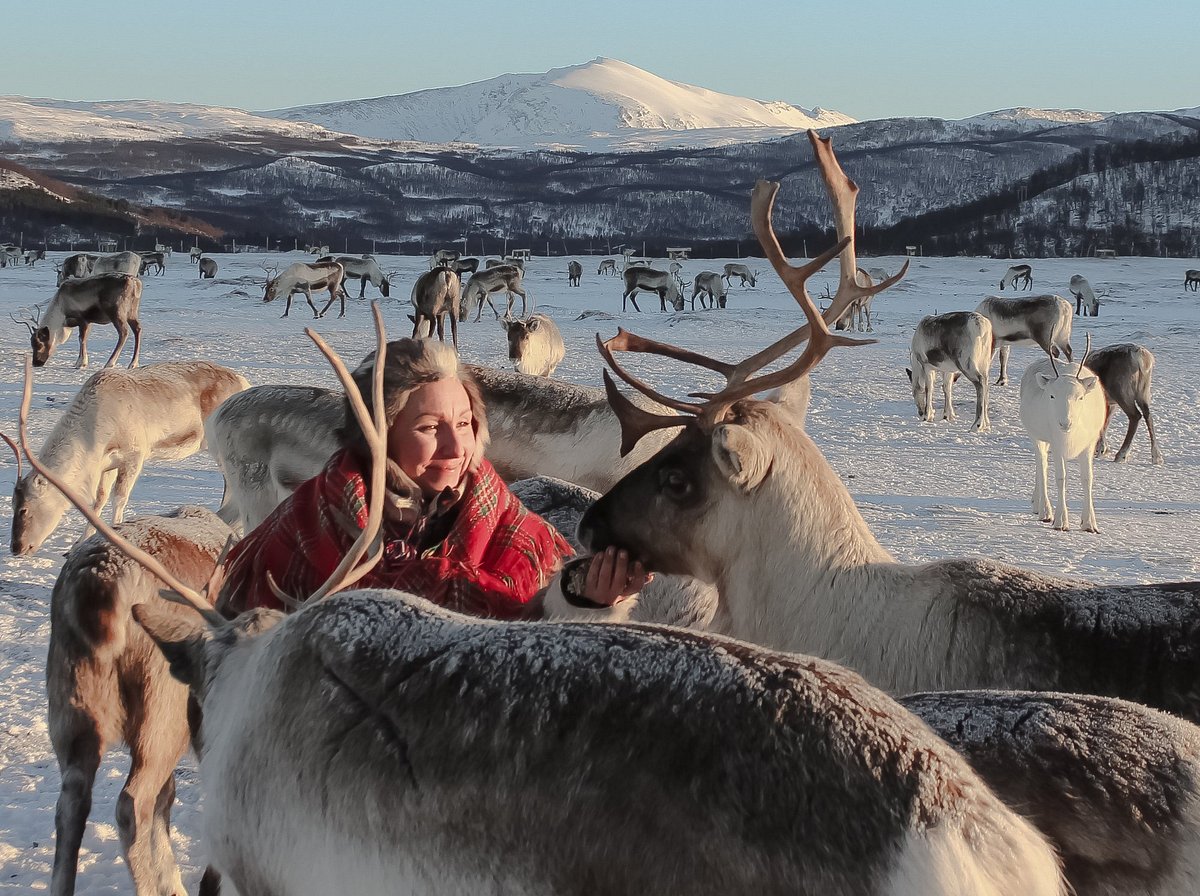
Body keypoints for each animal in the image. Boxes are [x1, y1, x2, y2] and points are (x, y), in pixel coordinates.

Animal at [10, 361, 249, 554]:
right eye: (12, 504)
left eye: (24, 509)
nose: (16, 547)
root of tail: (243, 382)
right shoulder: (107, 464)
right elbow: (99, 500)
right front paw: (76, 544)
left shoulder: (134, 453)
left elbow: (120, 498)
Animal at [14, 272, 143, 369]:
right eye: (32, 344)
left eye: (39, 344)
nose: (36, 363)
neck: (61, 308)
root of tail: (135, 283)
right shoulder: (87, 322)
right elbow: (81, 339)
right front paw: (79, 362)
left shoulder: (83, 319)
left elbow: (82, 339)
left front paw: (81, 363)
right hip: (132, 312)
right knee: (137, 329)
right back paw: (133, 364)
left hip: (116, 312)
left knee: (124, 332)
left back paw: (110, 363)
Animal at [1018, 338, 1107, 532]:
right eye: (1052, 395)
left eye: (1080, 397)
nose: (1065, 423)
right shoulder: (1057, 444)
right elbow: (1061, 478)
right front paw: (1060, 521)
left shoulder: (1088, 445)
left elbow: (1087, 478)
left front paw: (1089, 523)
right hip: (1036, 437)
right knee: (1042, 466)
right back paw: (1045, 511)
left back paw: (1036, 504)